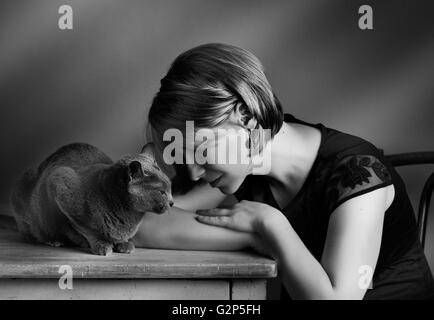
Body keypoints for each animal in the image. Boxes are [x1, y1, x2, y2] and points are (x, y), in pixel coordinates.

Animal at [10, 142, 173, 255]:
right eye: (161, 192)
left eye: (170, 188)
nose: (172, 202)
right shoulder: (59, 181)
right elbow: (85, 228)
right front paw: (101, 244)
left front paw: (124, 243)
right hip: (28, 186)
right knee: (35, 231)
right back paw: (53, 240)